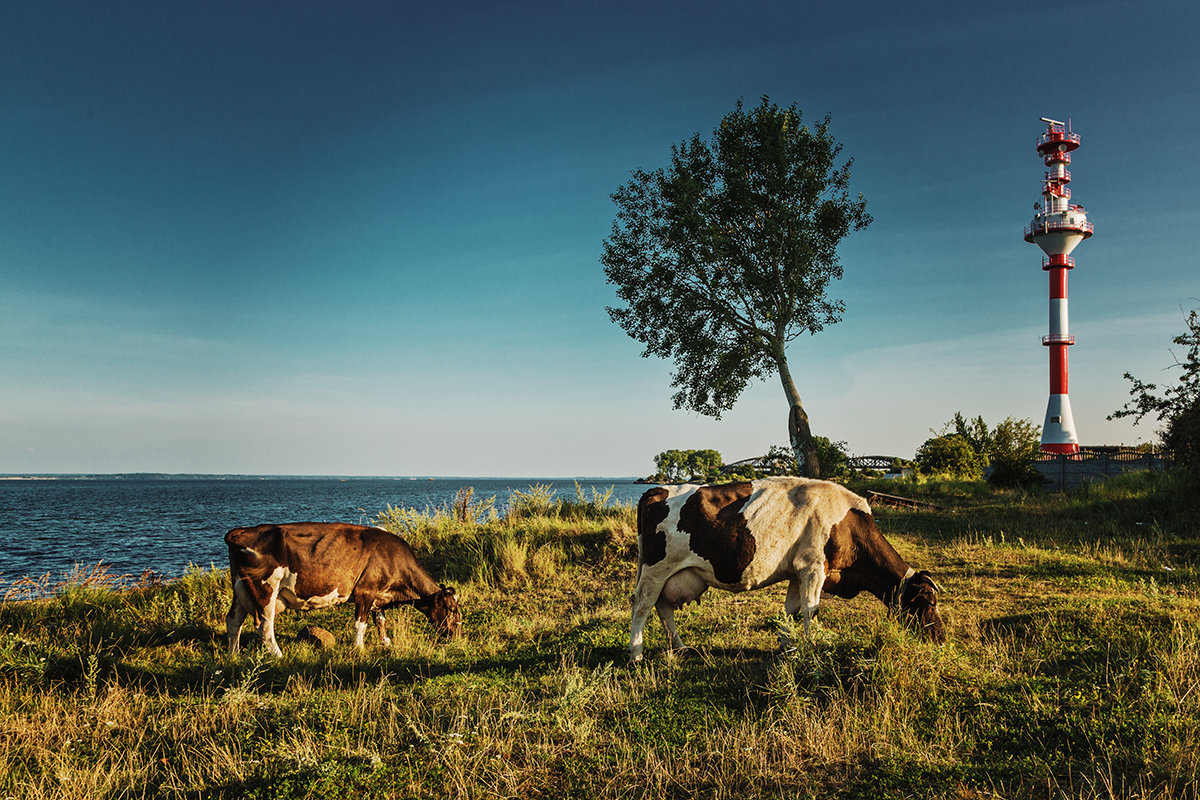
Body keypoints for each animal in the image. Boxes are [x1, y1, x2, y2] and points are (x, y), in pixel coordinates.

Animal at [224, 522, 458, 662]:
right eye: (450, 609)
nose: (456, 633)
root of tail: (243, 531)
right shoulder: (365, 591)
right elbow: (360, 625)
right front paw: (359, 649)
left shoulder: (377, 594)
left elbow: (380, 620)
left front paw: (385, 642)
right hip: (265, 589)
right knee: (264, 626)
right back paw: (279, 655)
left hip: (240, 588)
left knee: (234, 620)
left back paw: (233, 655)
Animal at [628, 474, 945, 662]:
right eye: (929, 602)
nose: (941, 639)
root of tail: (657, 488)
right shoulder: (813, 567)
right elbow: (809, 610)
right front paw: (810, 647)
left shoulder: (796, 571)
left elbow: (790, 610)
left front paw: (787, 646)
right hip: (657, 568)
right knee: (642, 605)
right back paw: (636, 653)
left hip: (669, 572)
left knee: (662, 607)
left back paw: (680, 647)